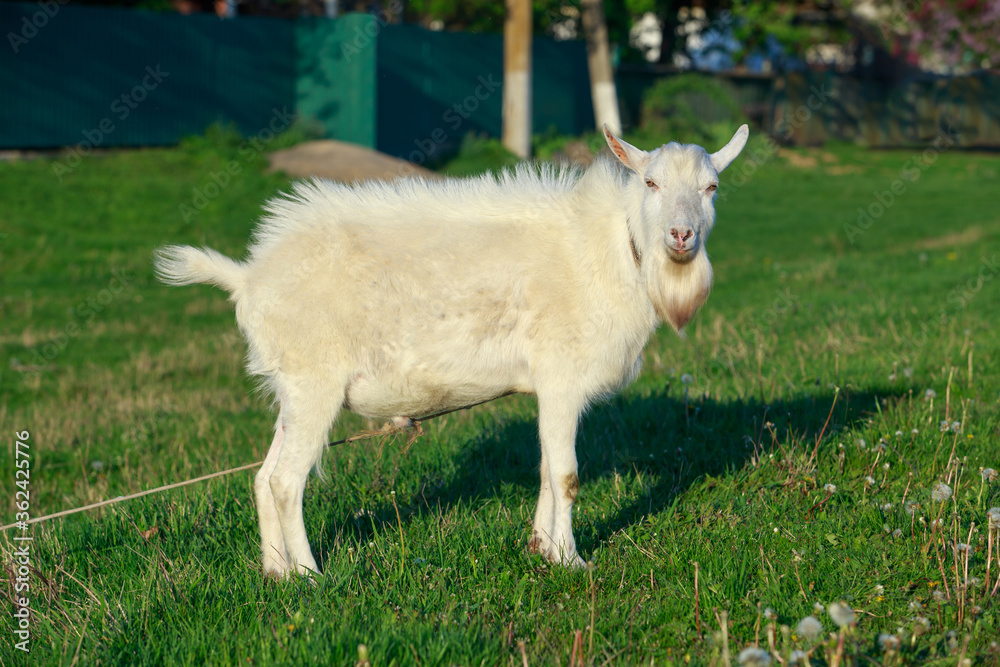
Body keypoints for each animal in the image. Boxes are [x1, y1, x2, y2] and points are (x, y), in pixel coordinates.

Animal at [154, 125, 749, 577]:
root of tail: (248, 277)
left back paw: (275, 572)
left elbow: (544, 468)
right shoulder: (562, 375)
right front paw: (572, 561)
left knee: (262, 476)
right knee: (284, 481)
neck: (612, 250)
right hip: (314, 382)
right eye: (650, 182)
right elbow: (566, 475)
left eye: (713, 188)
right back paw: (308, 576)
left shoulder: (547, 386)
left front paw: (541, 547)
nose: (681, 236)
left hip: (292, 387)